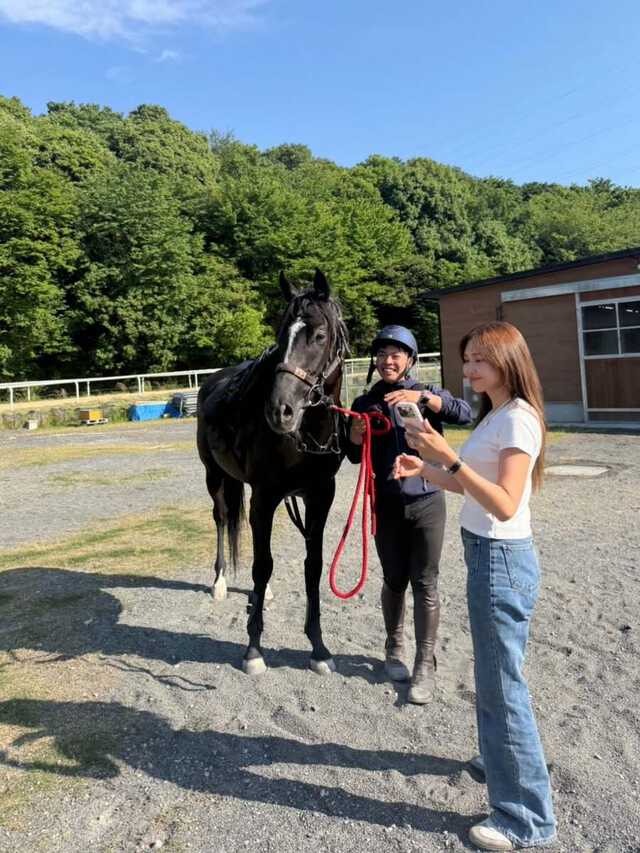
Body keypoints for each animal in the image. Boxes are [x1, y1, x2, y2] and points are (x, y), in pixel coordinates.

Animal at [197, 269, 349, 676]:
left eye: (320, 336)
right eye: (281, 337)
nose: (280, 410)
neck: (304, 435)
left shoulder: (319, 495)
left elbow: (313, 566)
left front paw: (319, 647)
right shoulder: (265, 496)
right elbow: (262, 565)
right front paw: (253, 648)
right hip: (214, 478)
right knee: (222, 520)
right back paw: (219, 582)